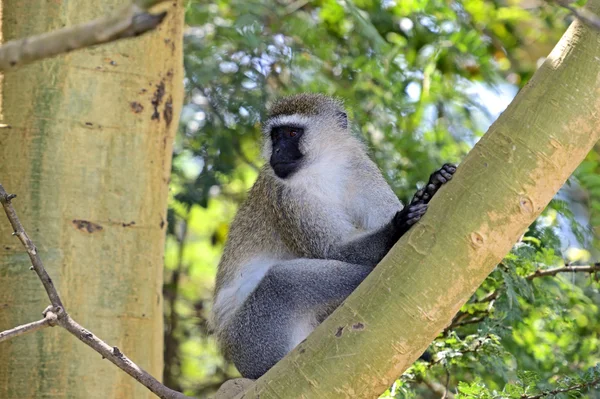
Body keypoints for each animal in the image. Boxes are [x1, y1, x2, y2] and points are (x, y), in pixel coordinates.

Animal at [211, 93, 454, 378]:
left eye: (292, 133)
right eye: (275, 136)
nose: (277, 152)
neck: (322, 167)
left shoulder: (359, 167)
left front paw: (433, 186)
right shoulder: (287, 196)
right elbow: (332, 250)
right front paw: (397, 226)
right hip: (250, 339)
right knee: (283, 280)